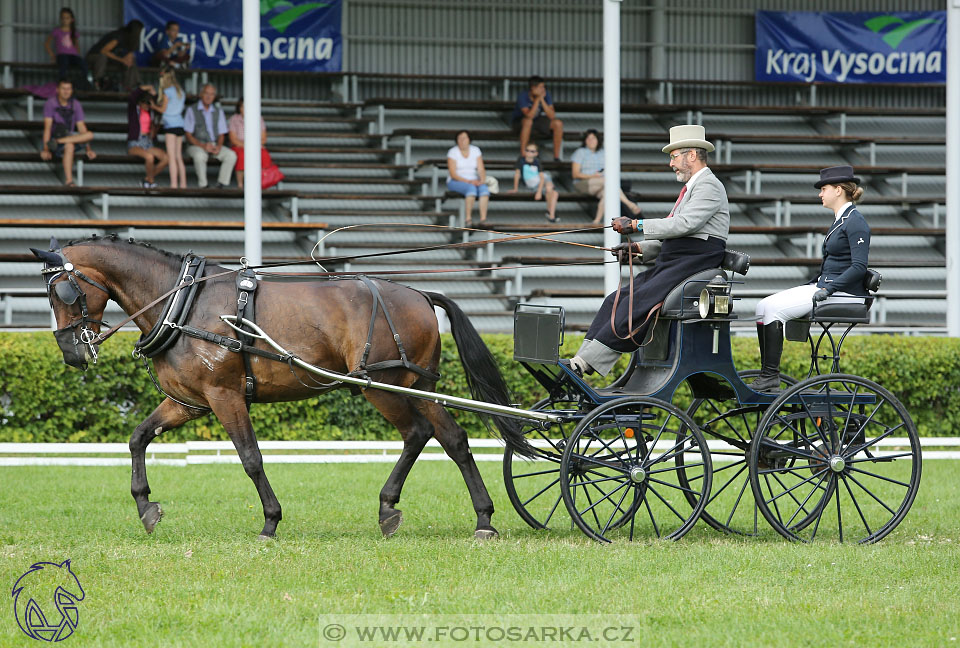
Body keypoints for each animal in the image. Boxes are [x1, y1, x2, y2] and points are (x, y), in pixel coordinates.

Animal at [30, 235, 536, 540]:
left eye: (63, 292)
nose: (72, 353)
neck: (186, 301)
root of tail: (418, 293)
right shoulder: (188, 402)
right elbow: (137, 438)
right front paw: (145, 506)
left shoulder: (225, 396)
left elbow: (251, 459)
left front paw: (270, 522)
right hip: (413, 384)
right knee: (449, 438)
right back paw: (464, 516)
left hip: (384, 385)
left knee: (425, 434)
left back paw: (419, 511)